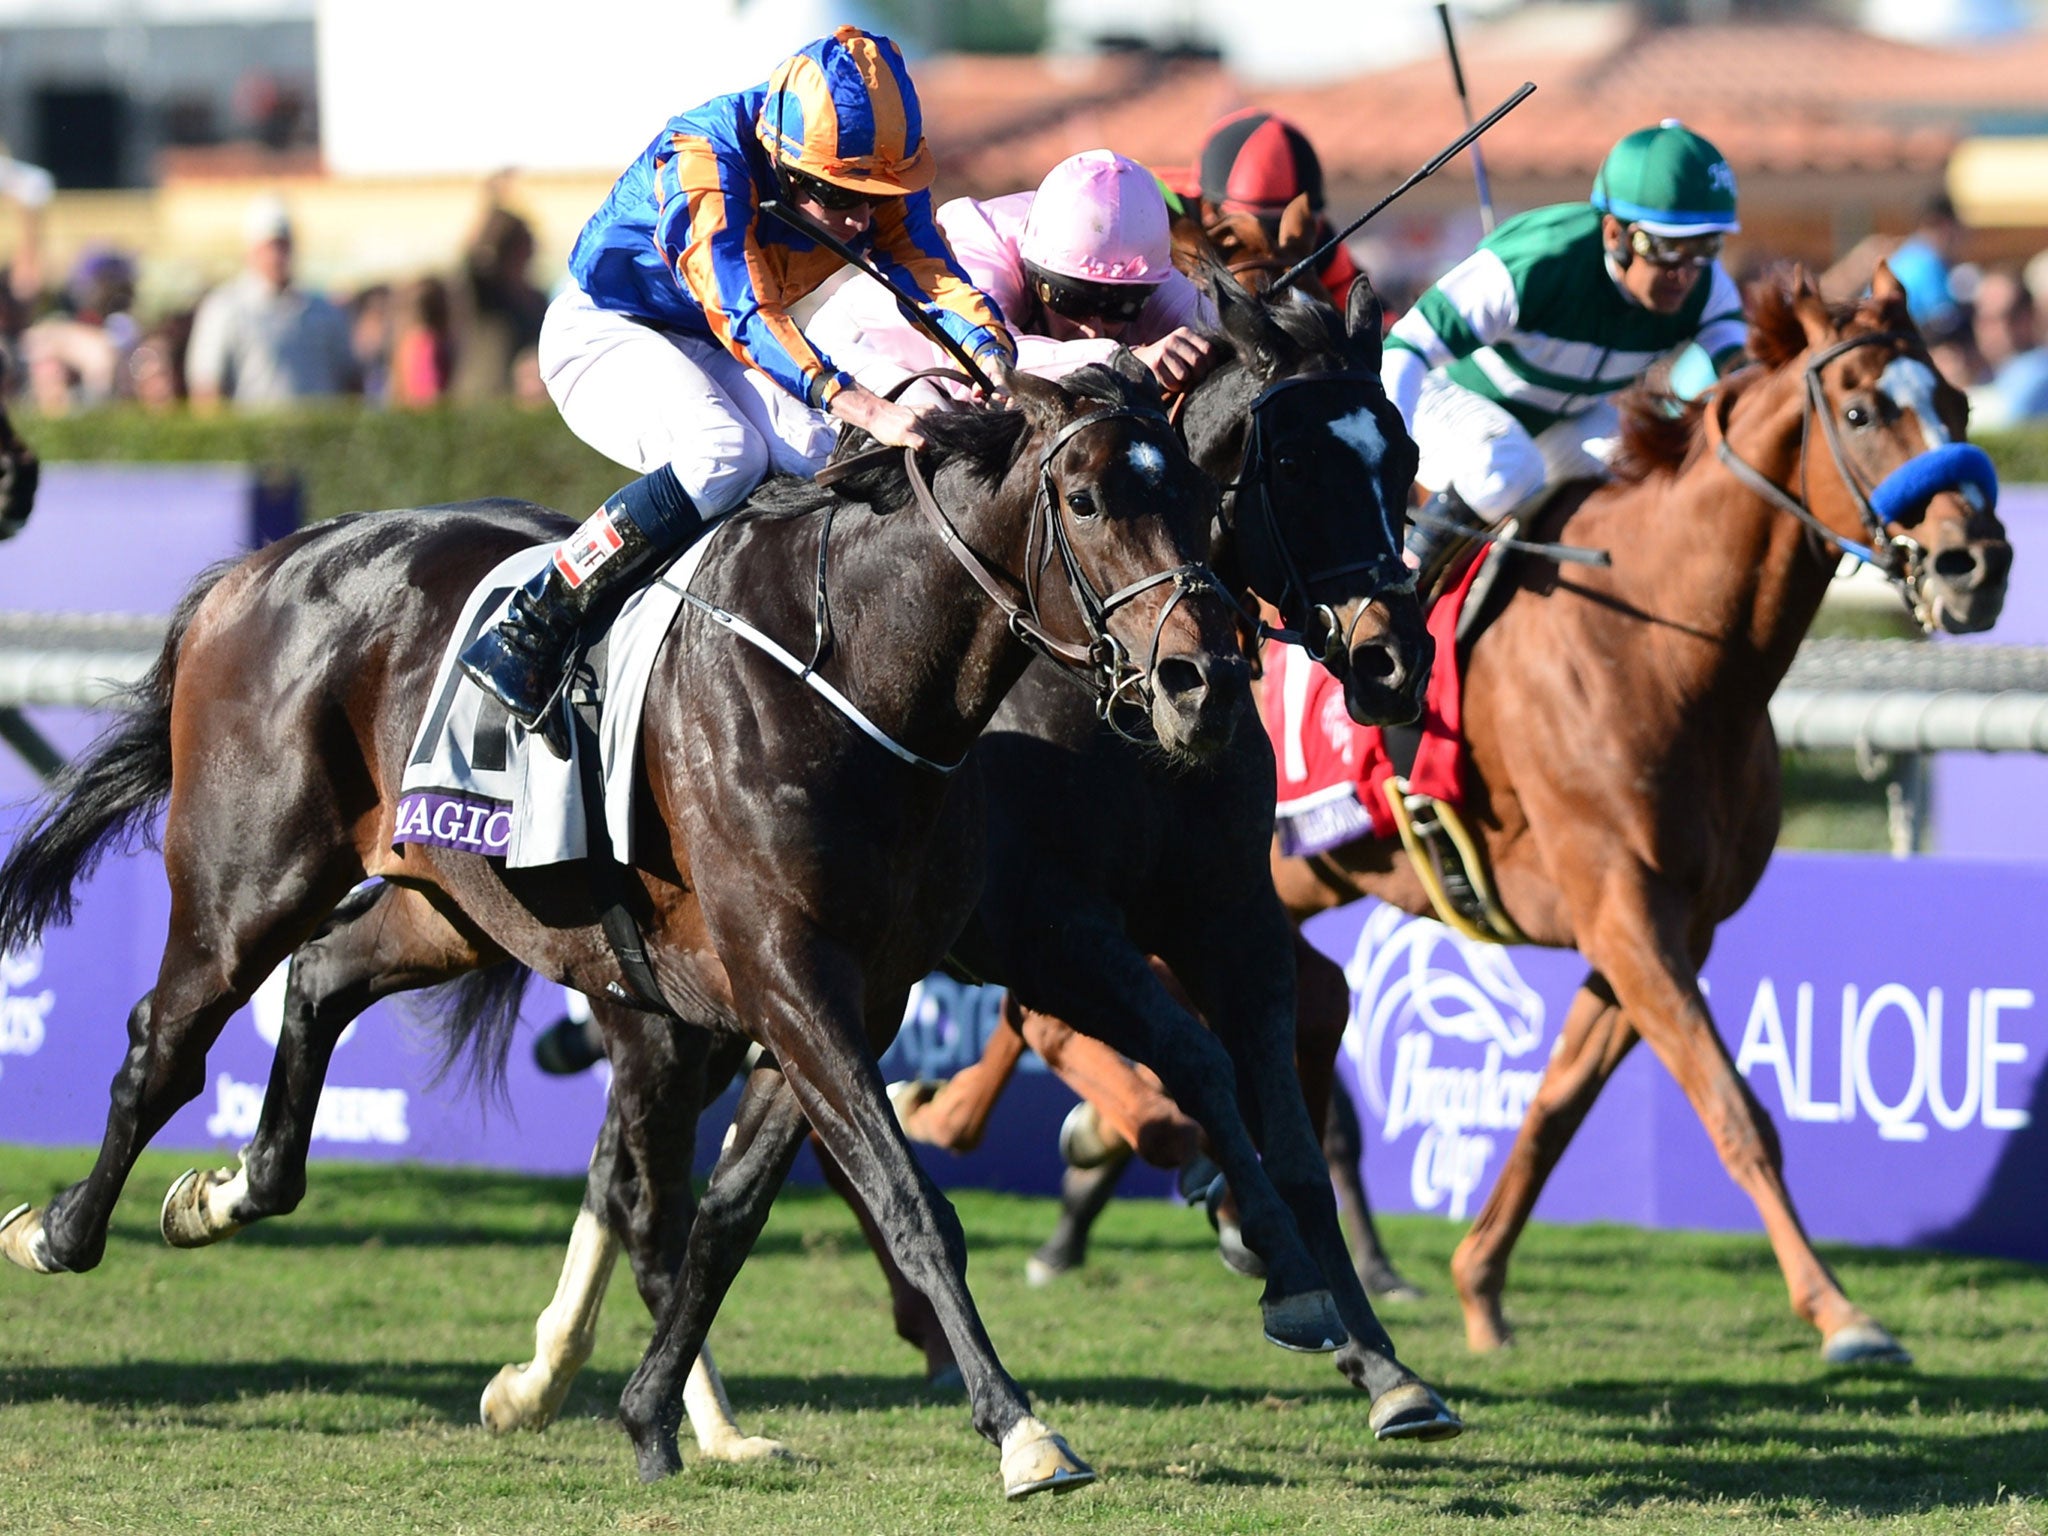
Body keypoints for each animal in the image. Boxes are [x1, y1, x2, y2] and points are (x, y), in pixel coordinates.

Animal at [0, 364, 1245, 1507]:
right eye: (1083, 500)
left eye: (1198, 493)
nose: (1203, 681)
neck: (852, 674)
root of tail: (263, 565)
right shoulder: (787, 978)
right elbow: (906, 1204)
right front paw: (1022, 1431)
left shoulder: (845, 997)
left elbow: (723, 1218)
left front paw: (653, 1415)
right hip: (251, 873)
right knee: (165, 1042)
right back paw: (58, 1231)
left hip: (451, 902)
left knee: (322, 978)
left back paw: (225, 1195)